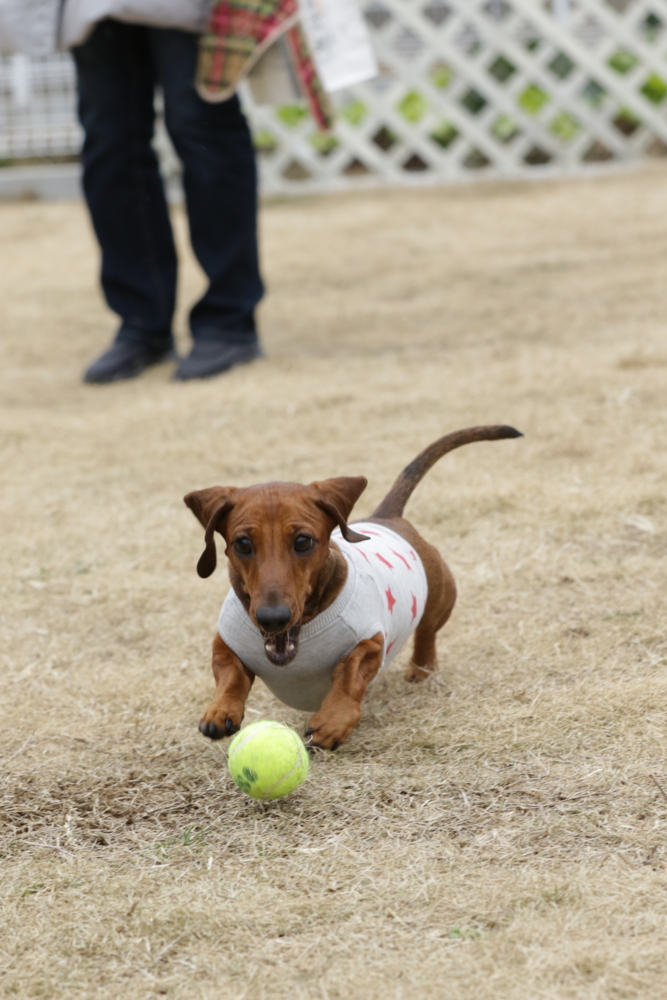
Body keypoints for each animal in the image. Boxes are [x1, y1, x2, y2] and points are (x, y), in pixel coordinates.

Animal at [184, 426, 520, 748]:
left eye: (303, 541)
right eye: (242, 544)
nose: (273, 619)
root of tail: (386, 517)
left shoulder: (370, 641)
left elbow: (350, 673)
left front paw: (334, 719)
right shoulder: (226, 641)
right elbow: (230, 674)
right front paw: (221, 709)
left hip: (439, 598)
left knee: (427, 632)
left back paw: (421, 669)